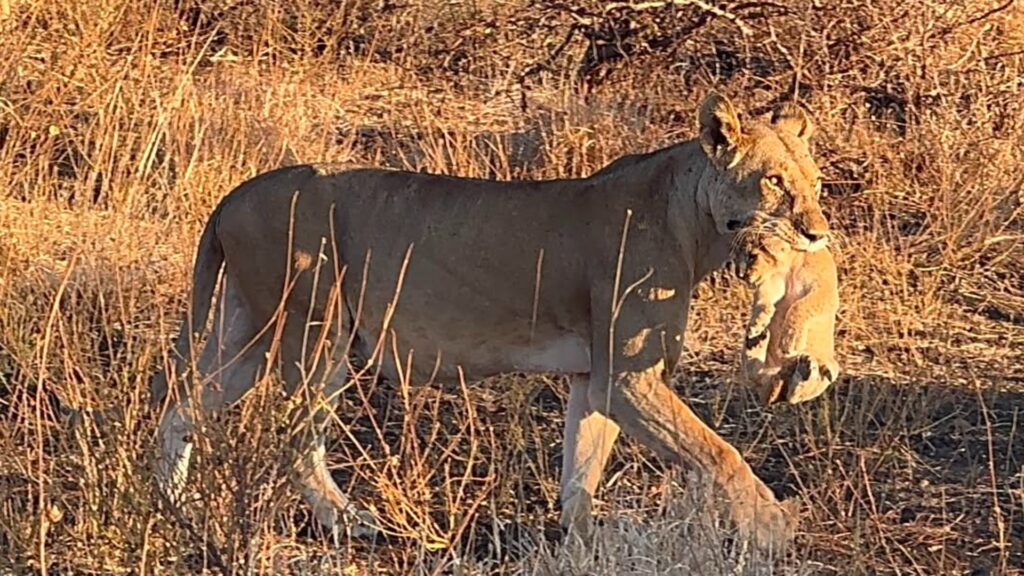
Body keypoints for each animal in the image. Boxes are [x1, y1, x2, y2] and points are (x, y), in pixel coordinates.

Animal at [736, 221, 840, 405]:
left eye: (752, 256)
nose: (740, 276)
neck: (793, 261)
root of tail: (781, 374)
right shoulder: (773, 282)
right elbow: (763, 300)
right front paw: (758, 321)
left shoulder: (826, 292)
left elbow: (800, 305)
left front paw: (790, 341)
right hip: (756, 372)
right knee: (755, 373)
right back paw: (756, 340)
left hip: (832, 368)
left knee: (793, 395)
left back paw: (803, 369)